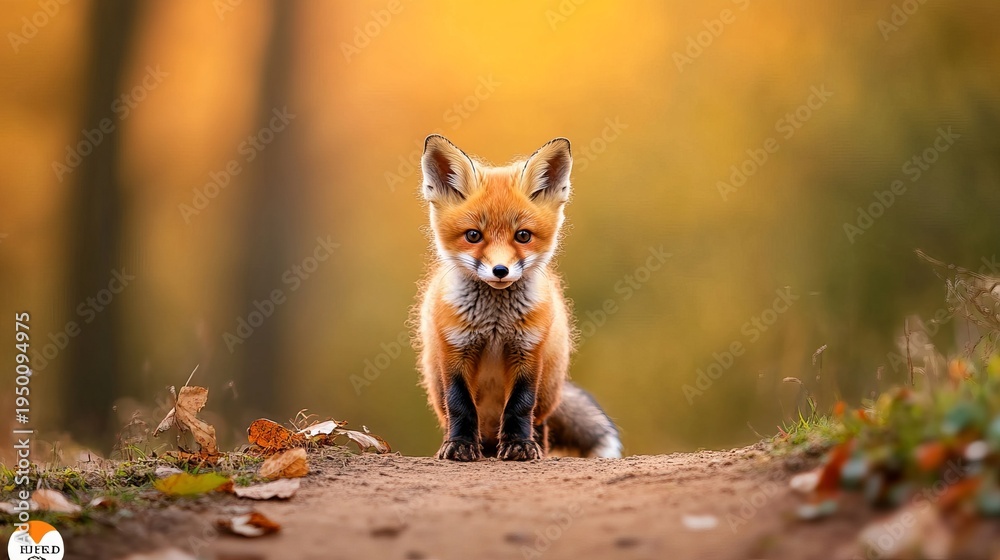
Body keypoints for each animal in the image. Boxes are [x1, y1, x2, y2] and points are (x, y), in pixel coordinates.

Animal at [413, 134, 622, 461]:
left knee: (539, 421)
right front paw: (459, 445)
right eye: (473, 235)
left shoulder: (528, 350)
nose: (500, 270)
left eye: (523, 236)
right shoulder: (455, 350)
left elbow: (520, 405)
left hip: (548, 387)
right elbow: (460, 405)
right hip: (435, 380)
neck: (495, 325)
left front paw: (519, 445)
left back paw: (535, 447)